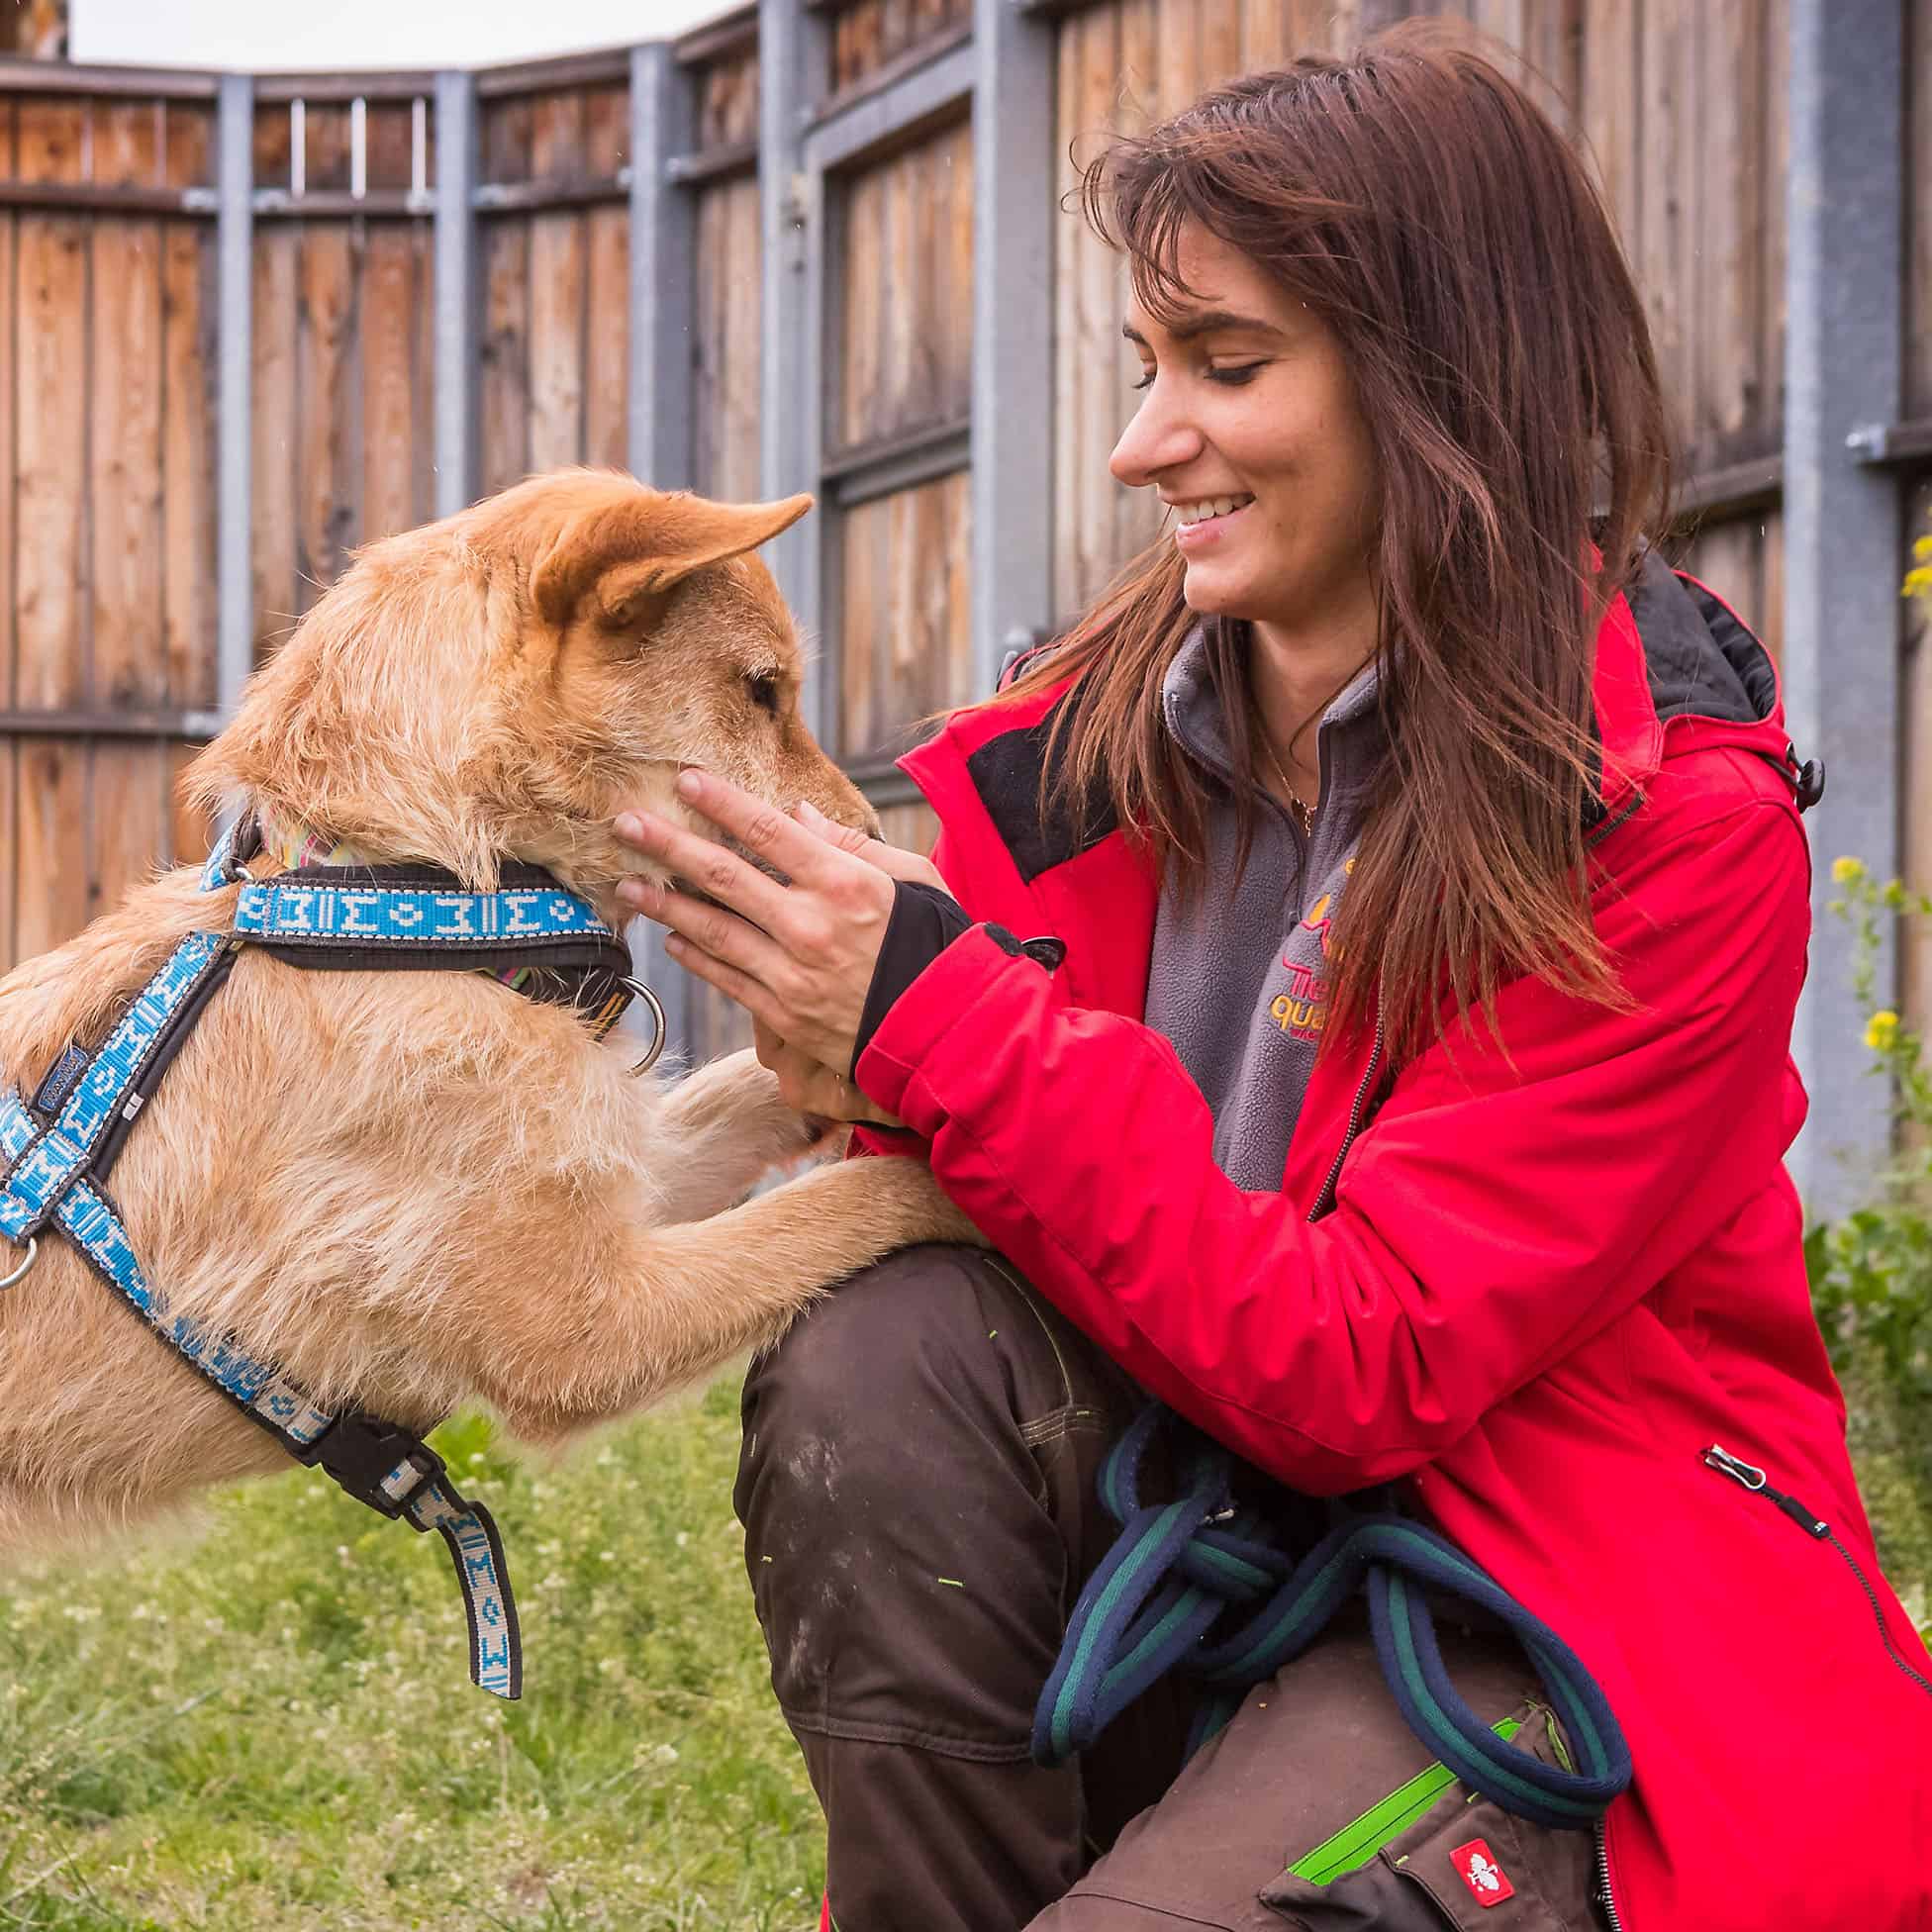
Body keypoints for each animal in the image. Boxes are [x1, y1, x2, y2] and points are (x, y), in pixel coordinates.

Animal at [0, 467, 973, 1553]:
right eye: (761, 690)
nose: (900, 863)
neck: (411, 899)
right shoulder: (587, 1329)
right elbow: (849, 1200)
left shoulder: (618, 1185)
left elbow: (746, 1100)